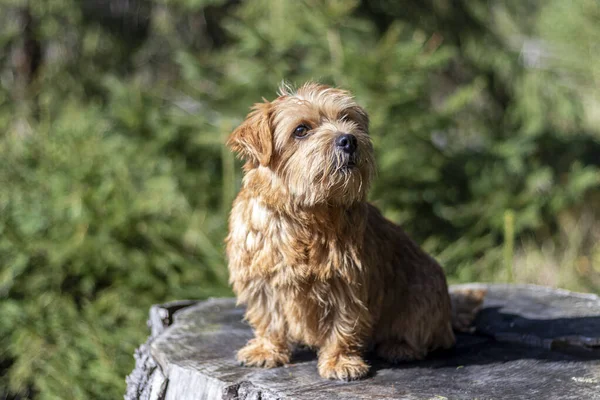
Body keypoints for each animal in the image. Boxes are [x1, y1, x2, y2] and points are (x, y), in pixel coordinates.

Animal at [224, 83, 482, 380]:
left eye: (348, 119)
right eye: (301, 129)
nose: (348, 139)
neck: (306, 215)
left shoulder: (347, 283)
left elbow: (343, 325)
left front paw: (340, 362)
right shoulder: (260, 282)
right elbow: (268, 319)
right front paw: (266, 350)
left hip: (424, 292)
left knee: (425, 335)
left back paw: (399, 347)